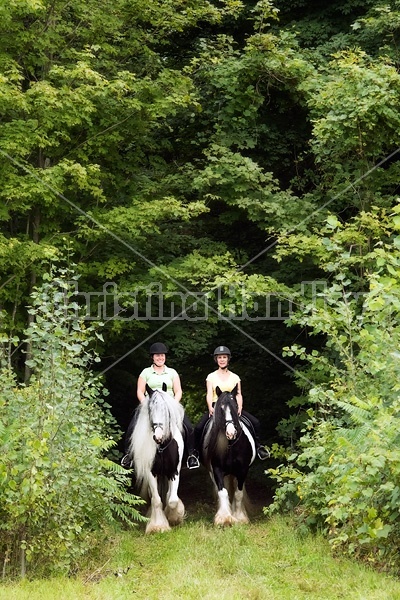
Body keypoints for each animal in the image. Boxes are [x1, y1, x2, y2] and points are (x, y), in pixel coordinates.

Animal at [128, 384, 186, 536]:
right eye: (150, 410)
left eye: (165, 409)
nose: (157, 436)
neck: (162, 446)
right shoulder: (151, 473)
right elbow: (156, 500)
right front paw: (158, 526)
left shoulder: (174, 472)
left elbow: (172, 499)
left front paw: (174, 518)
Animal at [200, 390, 256, 524]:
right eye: (220, 409)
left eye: (235, 406)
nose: (231, 433)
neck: (231, 446)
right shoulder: (217, 470)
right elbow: (223, 492)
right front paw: (224, 518)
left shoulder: (243, 470)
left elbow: (238, 493)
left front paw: (240, 517)